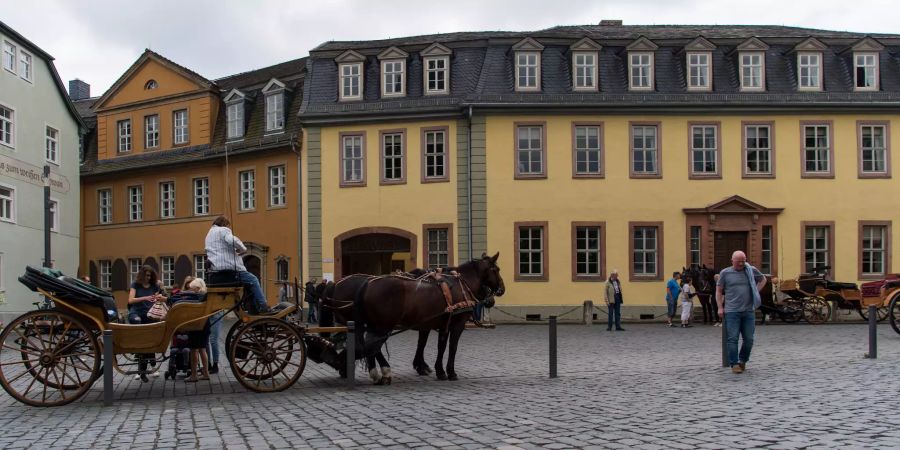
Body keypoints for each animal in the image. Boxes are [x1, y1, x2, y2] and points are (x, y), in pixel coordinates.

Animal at [320, 253, 502, 384]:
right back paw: (381, 371)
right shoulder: (455, 324)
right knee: (371, 346)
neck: (460, 285)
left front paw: (435, 369)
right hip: (382, 325)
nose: (501, 290)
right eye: (496, 270)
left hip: (373, 325)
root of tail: (366, 284)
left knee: (369, 346)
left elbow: (437, 346)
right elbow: (451, 348)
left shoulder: (439, 324)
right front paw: (448, 371)